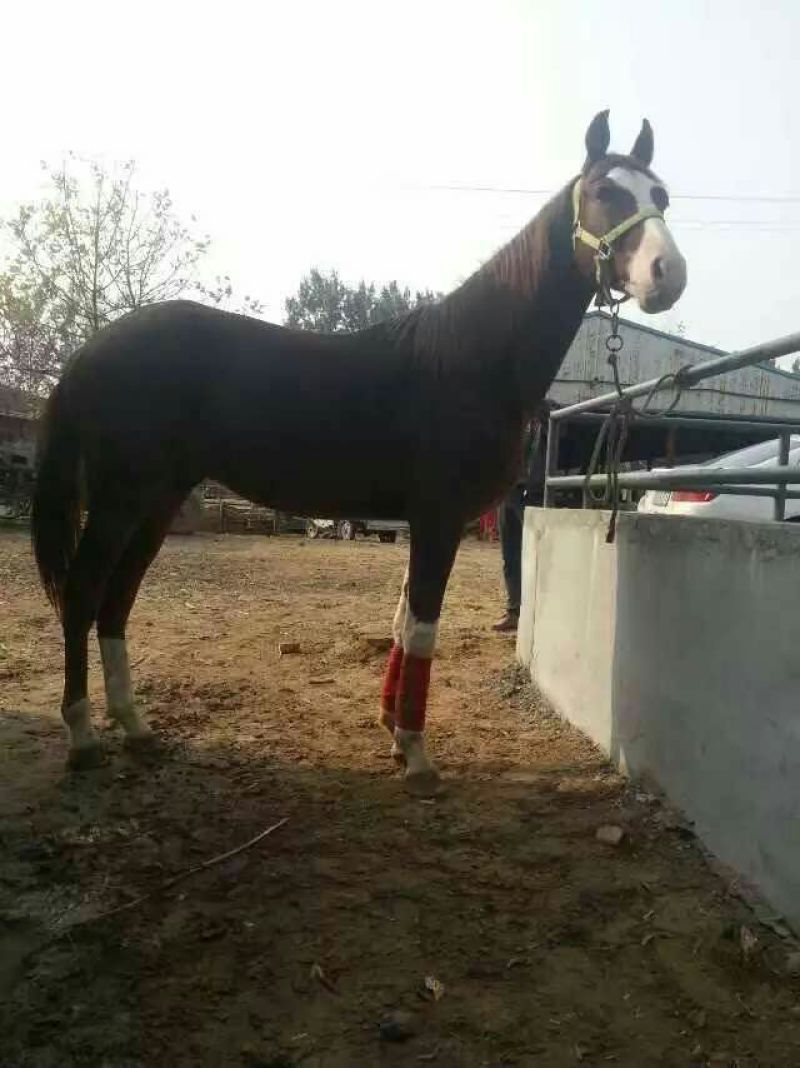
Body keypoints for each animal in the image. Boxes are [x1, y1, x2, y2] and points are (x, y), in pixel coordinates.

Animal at [31, 110, 686, 795]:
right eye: (604, 192)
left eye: (660, 196)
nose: (668, 274)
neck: (471, 360)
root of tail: (91, 350)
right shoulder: (438, 518)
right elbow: (422, 629)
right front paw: (417, 756)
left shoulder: (423, 522)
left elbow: (401, 623)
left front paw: (393, 733)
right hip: (119, 500)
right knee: (82, 594)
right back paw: (82, 738)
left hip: (156, 502)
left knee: (116, 600)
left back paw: (135, 728)